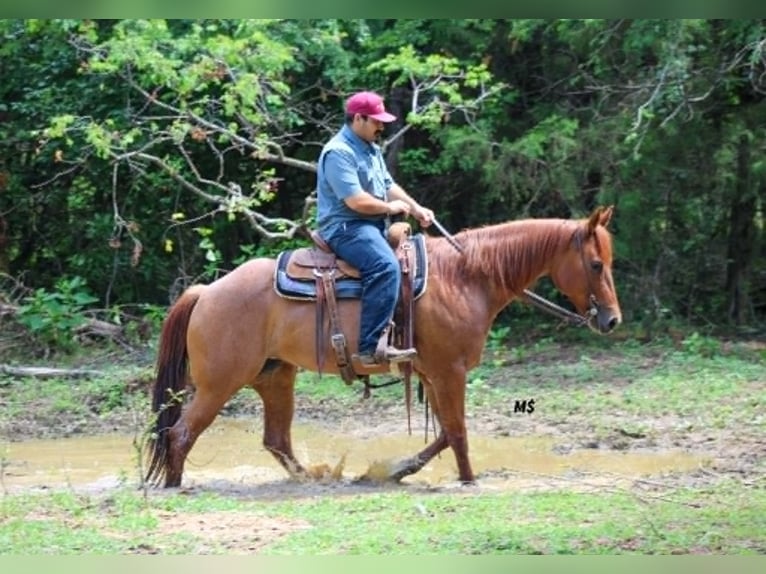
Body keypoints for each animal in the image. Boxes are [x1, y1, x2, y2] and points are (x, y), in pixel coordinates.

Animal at [145, 205, 622, 487]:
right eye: (596, 264)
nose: (612, 319)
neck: (465, 276)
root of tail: (206, 292)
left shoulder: (432, 373)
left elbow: (444, 433)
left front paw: (400, 470)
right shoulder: (449, 371)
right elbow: (458, 432)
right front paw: (469, 480)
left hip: (275, 377)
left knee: (275, 439)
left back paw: (314, 477)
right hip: (219, 384)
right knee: (181, 433)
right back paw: (174, 486)